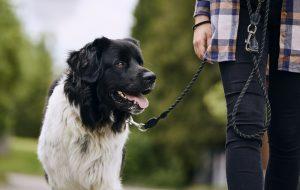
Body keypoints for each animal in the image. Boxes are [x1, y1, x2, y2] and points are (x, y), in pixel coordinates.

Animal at [37, 37, 156, 190]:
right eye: (120, 63)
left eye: (140, 63)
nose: (152, 77)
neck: (93, 122)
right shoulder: (60, 179)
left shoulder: (107, 178)